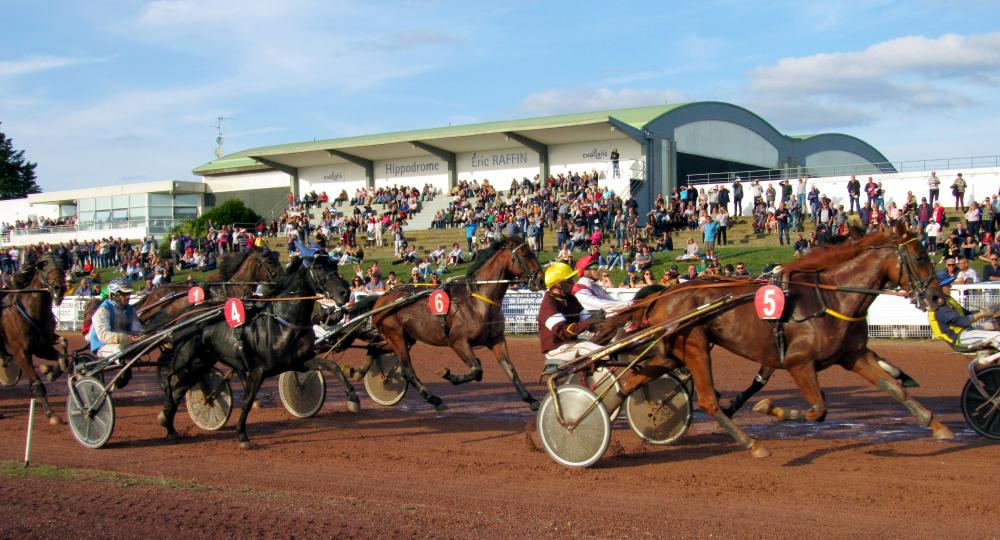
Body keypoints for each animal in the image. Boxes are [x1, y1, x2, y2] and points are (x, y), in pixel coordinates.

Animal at [0, 251, 68, 424]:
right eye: (43, 264)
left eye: (62, 264)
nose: (59, 288)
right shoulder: (20, 354)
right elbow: (38, 384)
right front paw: (51, 414)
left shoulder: (41, 347)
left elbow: (63, 348)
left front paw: (51, 371)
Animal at [156, 255, 356, 450]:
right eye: (319, 268)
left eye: (334, 265)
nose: (345, 292)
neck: (283, 321)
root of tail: (184, 315)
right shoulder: (257, 369)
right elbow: (248, 400)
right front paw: (242, 435)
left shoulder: (299, 362)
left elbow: (332, 366)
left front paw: (353, 399)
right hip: (185, 356)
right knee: (167, 375)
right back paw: (166, 411)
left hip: (201, 362)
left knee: (180, 388)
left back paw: (169, 426)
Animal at [368, 236, 544, 410]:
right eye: (525, 254)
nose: (541, 280)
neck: (478, 301)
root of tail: (381, 300)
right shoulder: (457, 341)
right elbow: (477, 369)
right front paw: (448, 375)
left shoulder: (496, 340)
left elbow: (509, 369)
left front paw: (530, 399)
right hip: (396, 336)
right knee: (407, 371)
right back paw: (434, 399)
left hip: (405, 338)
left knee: (373, 349)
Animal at [588, 221, 948, 458]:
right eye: (919, 256)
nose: (937, 297)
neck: (831, 298)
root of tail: (664, 293)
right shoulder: (799, 363)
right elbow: (818, 410)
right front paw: (768, 408)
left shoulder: (853, 355)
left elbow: (894, 388)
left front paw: (936, 424)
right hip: (694, 346)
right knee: (706, 400)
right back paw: (752, 443)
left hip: (670, 352)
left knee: (628, 383)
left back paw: (593, 418)